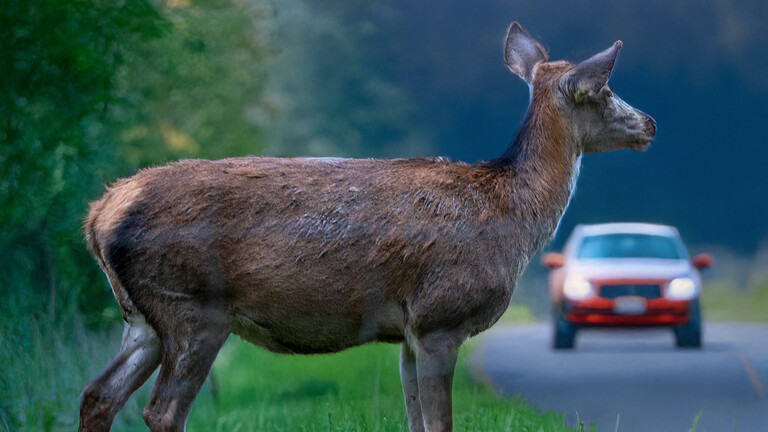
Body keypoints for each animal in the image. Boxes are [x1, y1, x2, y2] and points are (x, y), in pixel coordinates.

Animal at [79, 21, 655, 432]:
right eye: (604, 90)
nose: (650, 123)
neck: (510, 220)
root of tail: (98, 216)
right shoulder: (442, 315)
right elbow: (440, 424)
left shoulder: (410, 330)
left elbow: (417, 422)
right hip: (192, 304)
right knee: (161, 412)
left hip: (142, 317)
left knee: (97, 395)